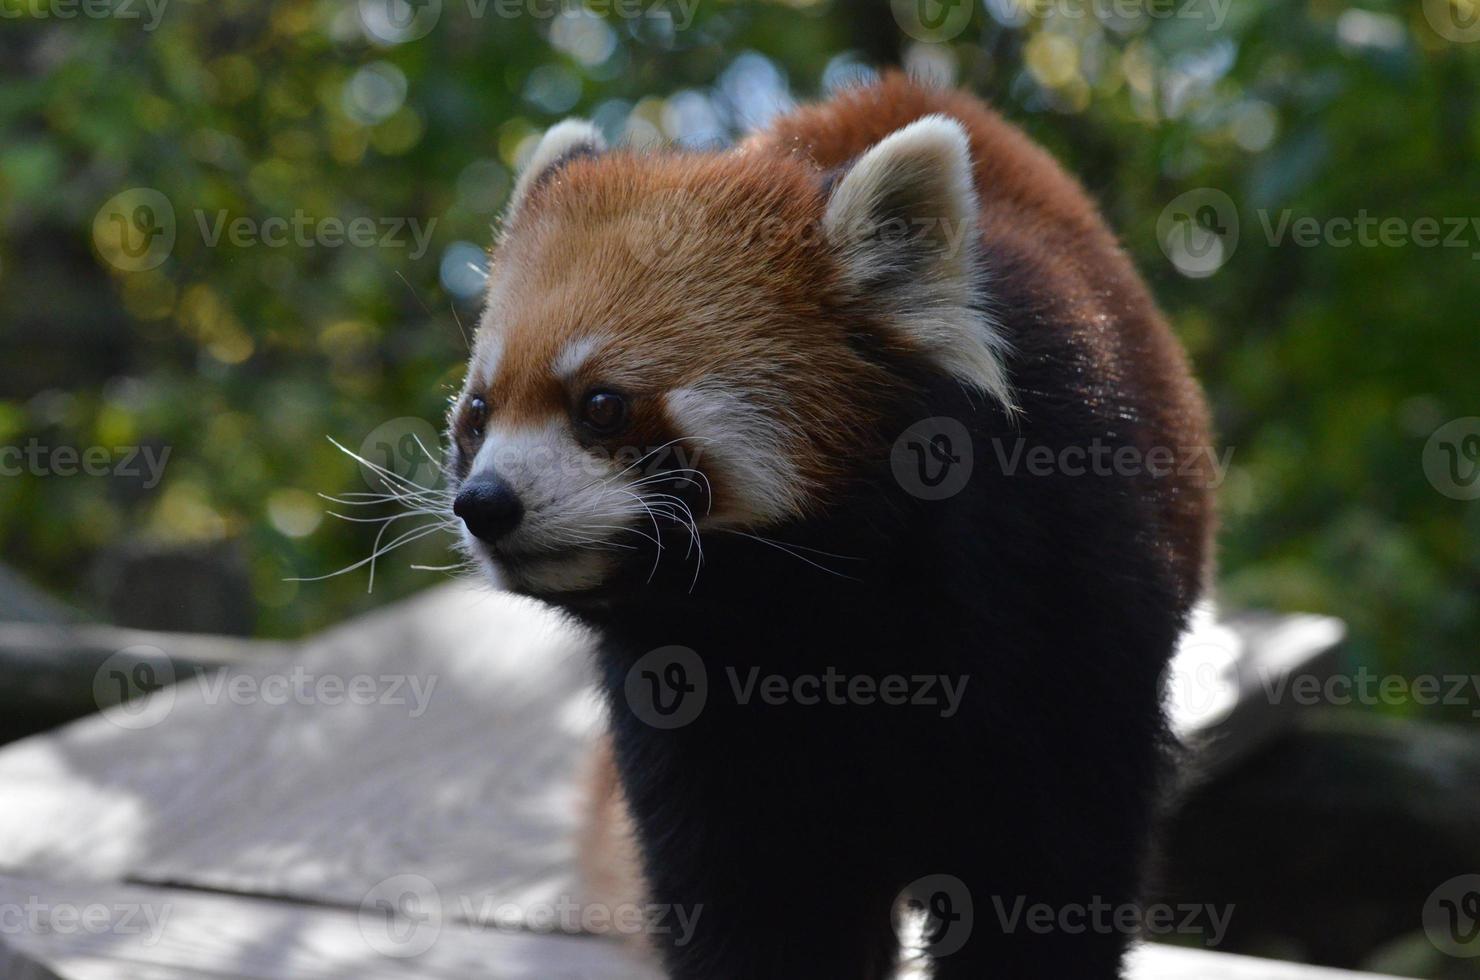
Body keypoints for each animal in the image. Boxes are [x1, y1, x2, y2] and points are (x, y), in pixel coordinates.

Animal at [446, 76, 1213, 980]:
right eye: (477, 415)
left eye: (601, 405)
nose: (485, 502)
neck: (814, 620)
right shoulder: (689, 717)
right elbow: (759, 907)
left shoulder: (1068, 604)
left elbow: (1046, 881)